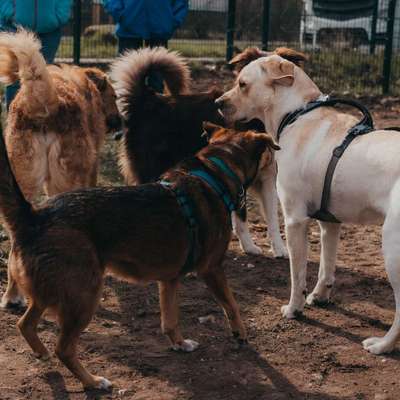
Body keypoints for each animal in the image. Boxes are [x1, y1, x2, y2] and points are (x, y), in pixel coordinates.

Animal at [0, 108, 280, 390]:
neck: (217, 171)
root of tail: (35, 217)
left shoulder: (169, 280)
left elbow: (170, 320)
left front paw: (179, 344)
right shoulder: (211, 269)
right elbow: (231, 304)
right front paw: (240, 334)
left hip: (50, 292)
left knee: (25, 324)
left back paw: (41, 352)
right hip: (83, 295)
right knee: (64, 348)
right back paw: (93, 381)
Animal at [217, 47, 400, 356]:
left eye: (242, 84)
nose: (218, 103)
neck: (296, 115)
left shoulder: (295, 221)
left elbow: (297, 275)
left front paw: (295, 309)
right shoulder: (330, 224)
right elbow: (326, 266)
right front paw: (319, 296)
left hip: (393, 252)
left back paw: (381, 345)